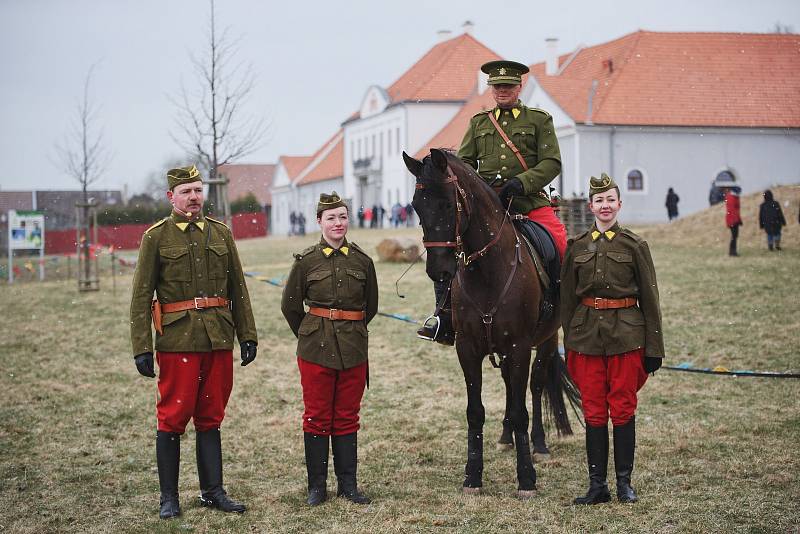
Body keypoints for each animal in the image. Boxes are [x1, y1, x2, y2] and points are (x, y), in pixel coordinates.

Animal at [404, 149, 580, 500]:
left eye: (448, 204)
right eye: (417, 206)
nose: (438, 271)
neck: (487, 271)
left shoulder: (519, 346)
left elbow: (523, 407)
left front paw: (526, 479)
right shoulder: (468, 349)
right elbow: (476, 411)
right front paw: (473, 475)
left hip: (546, 340)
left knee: (535, 386)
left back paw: (538, 444)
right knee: (511, 388)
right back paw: (506, 437)